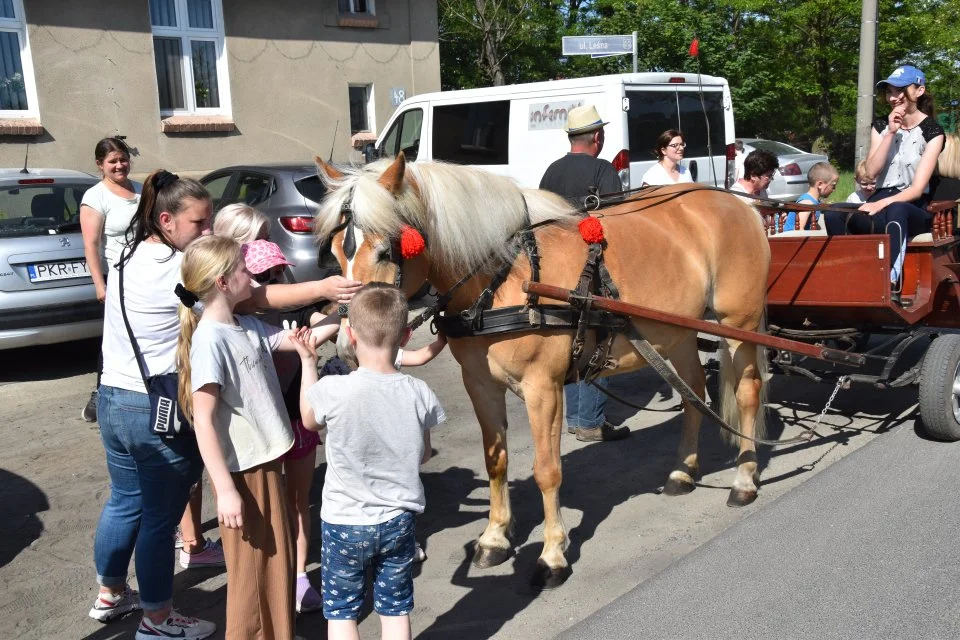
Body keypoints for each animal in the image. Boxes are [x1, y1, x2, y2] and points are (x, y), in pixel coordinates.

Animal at [316, 155, 772, 592]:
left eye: (385, 251)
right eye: (336, 253)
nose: (349, 348)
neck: (506, 277)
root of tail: (738, 203)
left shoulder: (544, 389)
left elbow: (547, 470)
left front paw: (552, 555)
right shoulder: (480, 385)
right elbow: (496, 461)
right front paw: (495, 538)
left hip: (738, 326)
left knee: (747, 393)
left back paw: (744, 479)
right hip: (676, 333)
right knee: (694, 393)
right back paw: (683, 471)